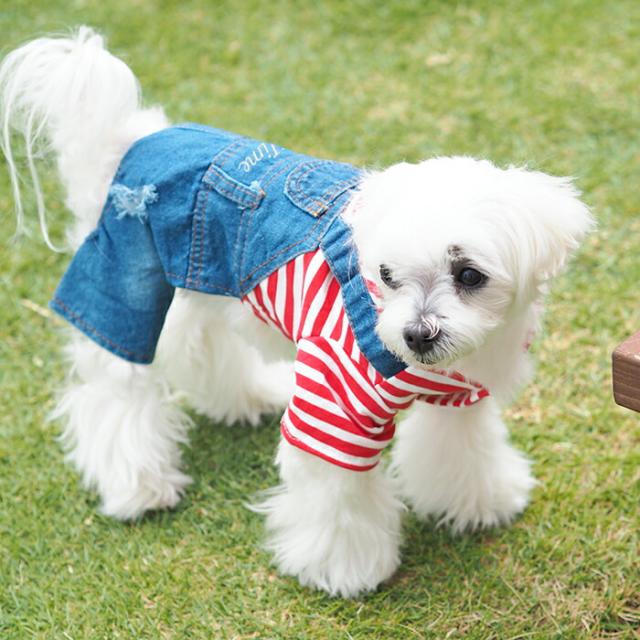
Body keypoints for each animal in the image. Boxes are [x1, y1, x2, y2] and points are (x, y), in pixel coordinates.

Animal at [0, 27, 593, 597]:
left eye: (469, 275)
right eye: (385, 275)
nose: (416, 334)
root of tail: (134, 138)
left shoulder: (460, 399)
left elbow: (459, 448)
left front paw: (477, 502)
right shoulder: (334, 407)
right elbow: (337, 499)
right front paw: (343, 570)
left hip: (201, 285)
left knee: (198, 342)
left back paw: (245, 398)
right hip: (123, 287)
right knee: (116, 389)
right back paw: (138, 486)